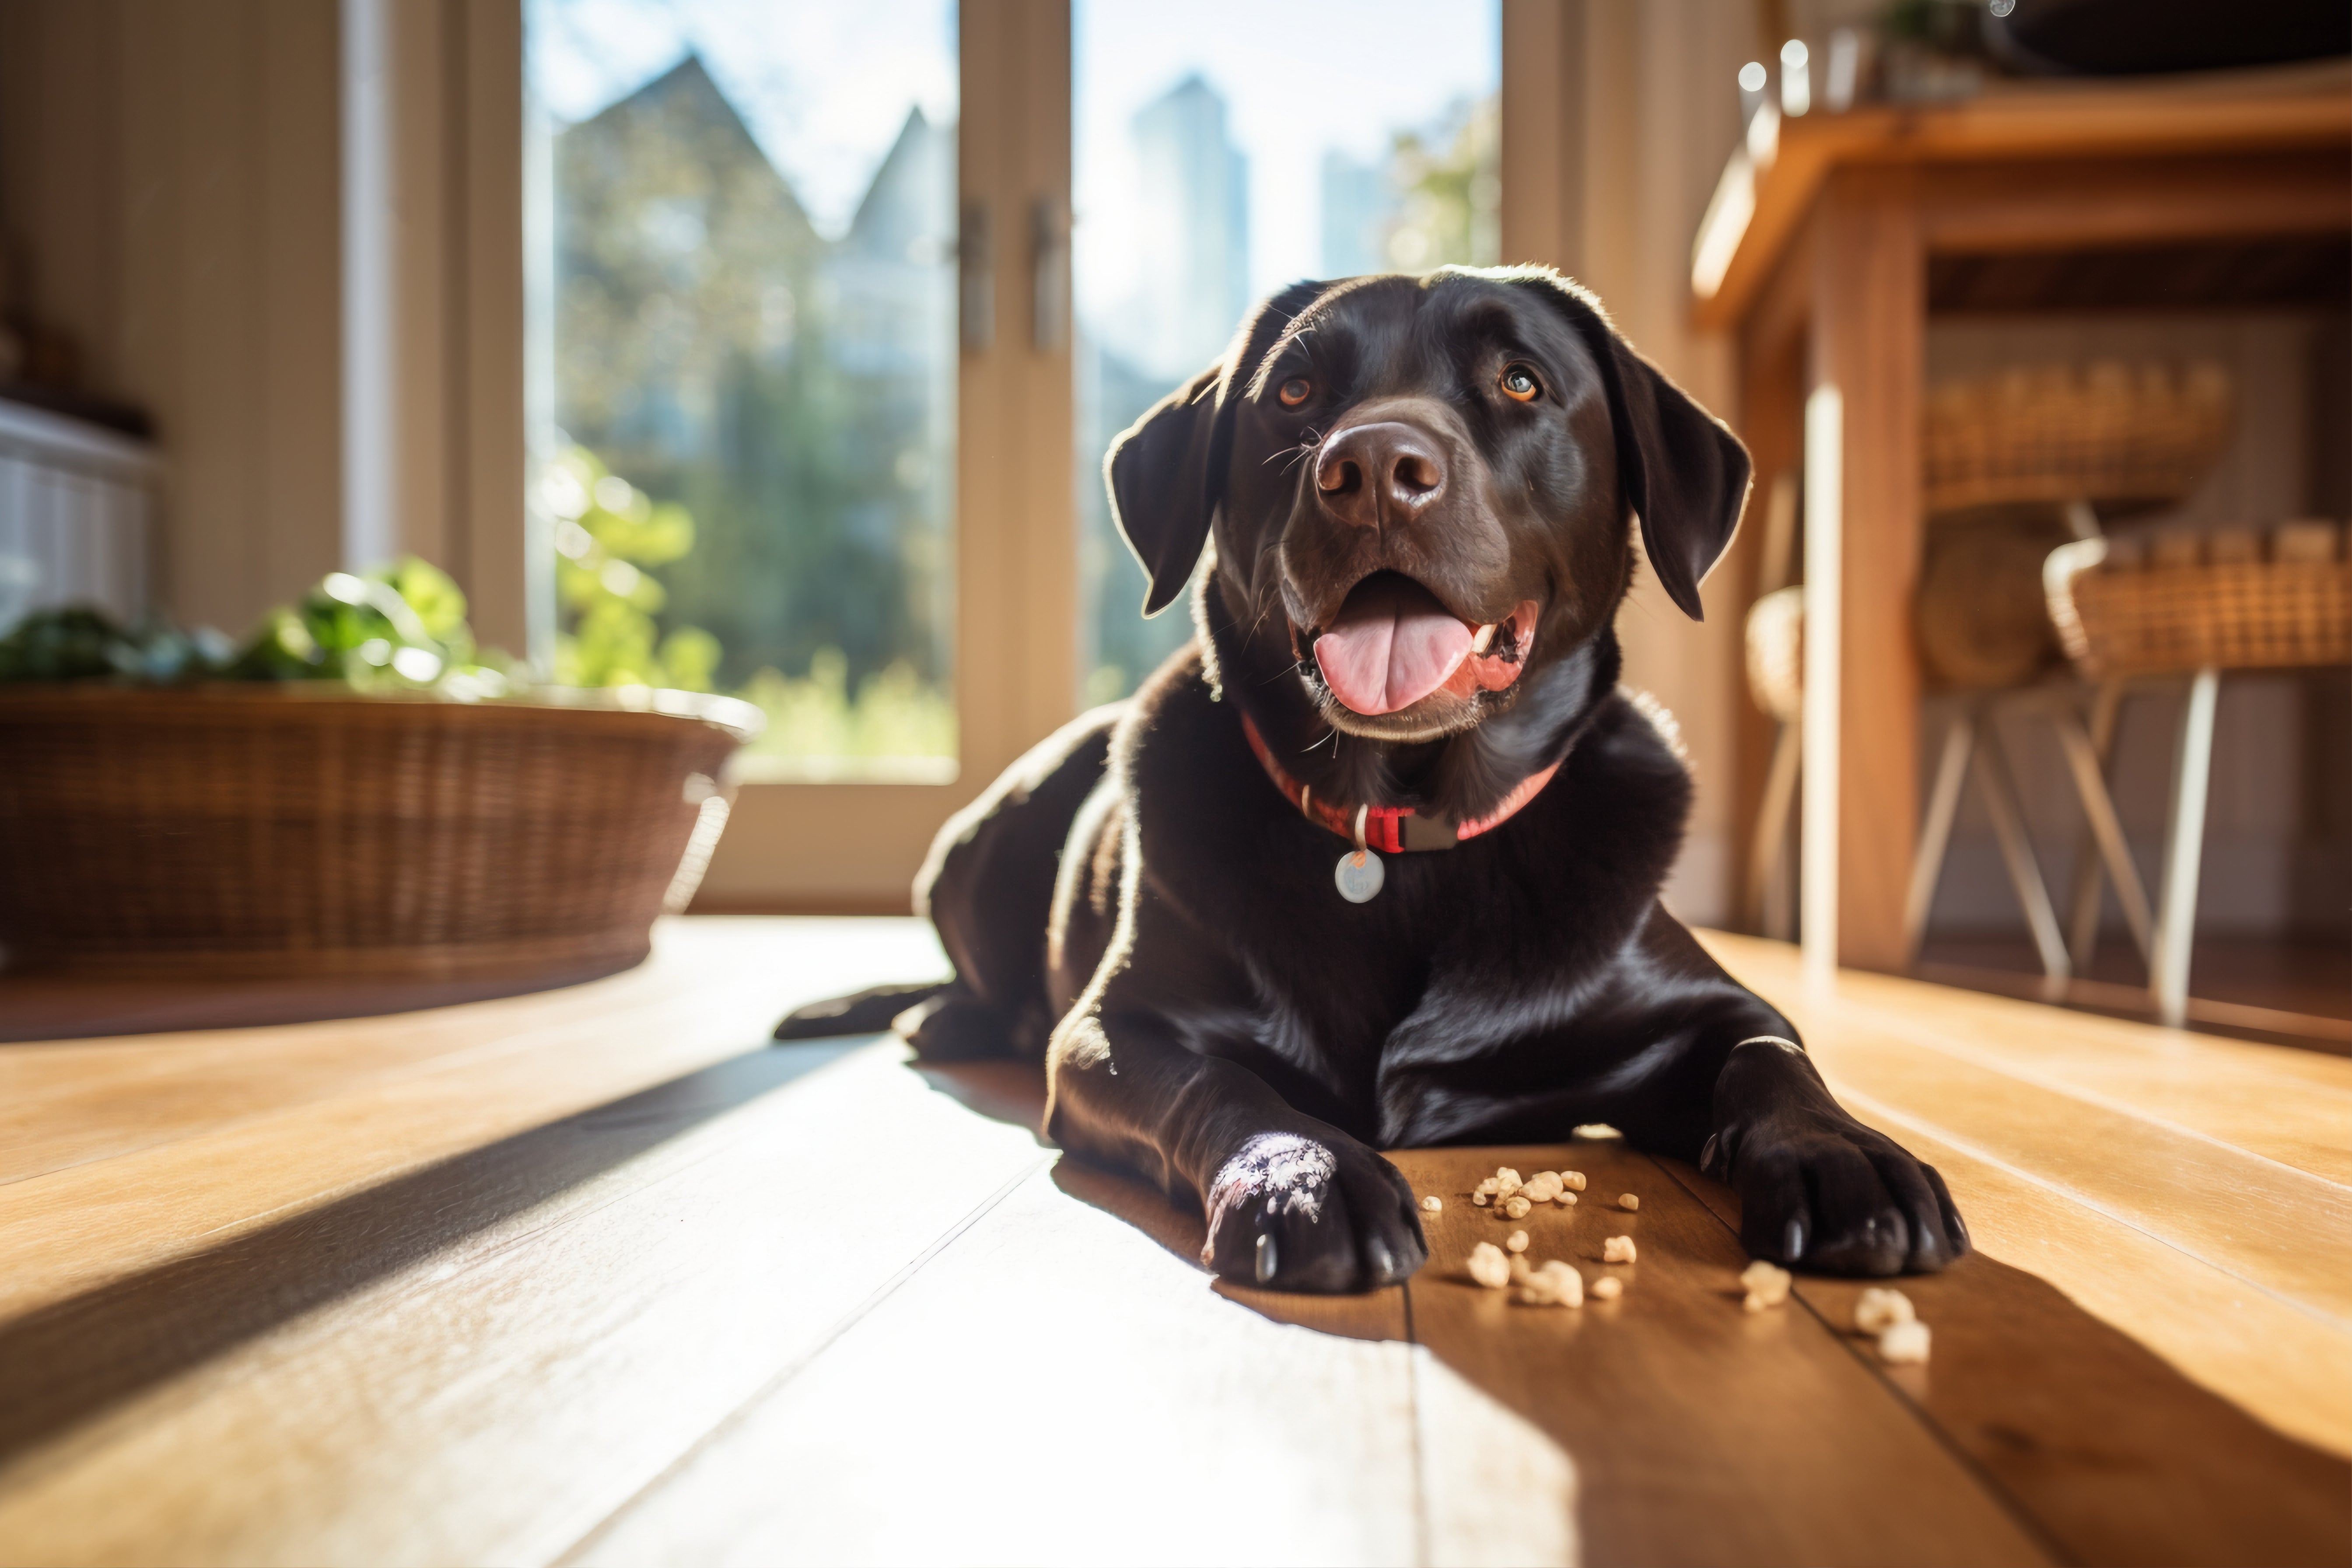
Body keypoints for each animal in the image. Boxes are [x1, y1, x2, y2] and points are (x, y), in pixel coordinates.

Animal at [785, 270, 1966, 1298]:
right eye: (1295, 393)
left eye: (1522, 382)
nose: (1374, 468)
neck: (1403, 824)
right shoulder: (1116, 1028)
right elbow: (1226, 1081)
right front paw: (1304, 1175)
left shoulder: (1708, 1007)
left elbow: (1775, 1058)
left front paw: (1844, 1154)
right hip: (986, 843)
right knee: (987, 980)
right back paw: (940, 1015)